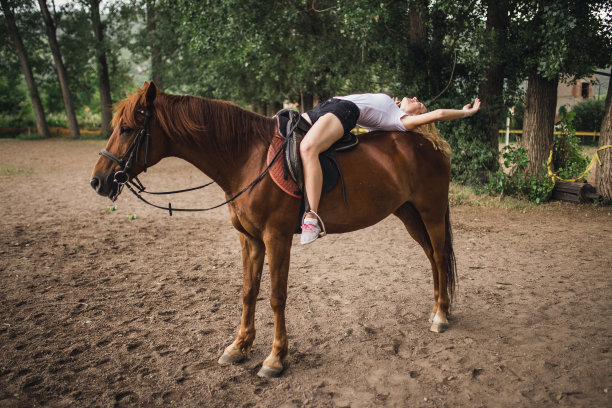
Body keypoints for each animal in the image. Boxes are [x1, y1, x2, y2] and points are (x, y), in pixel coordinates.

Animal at [89, 81, 454, 378]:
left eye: (126, 128)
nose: (98, 180)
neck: (246, 158)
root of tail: (429, 140)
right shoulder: (249, 238)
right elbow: (249, 291)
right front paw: (239, 347)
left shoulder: (276, 238)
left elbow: (277, 297)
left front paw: (275, 359)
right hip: (408, 213)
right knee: (433, 258)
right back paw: (438, 309)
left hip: (431, 211)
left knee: (438, 256)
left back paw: (440, 316)